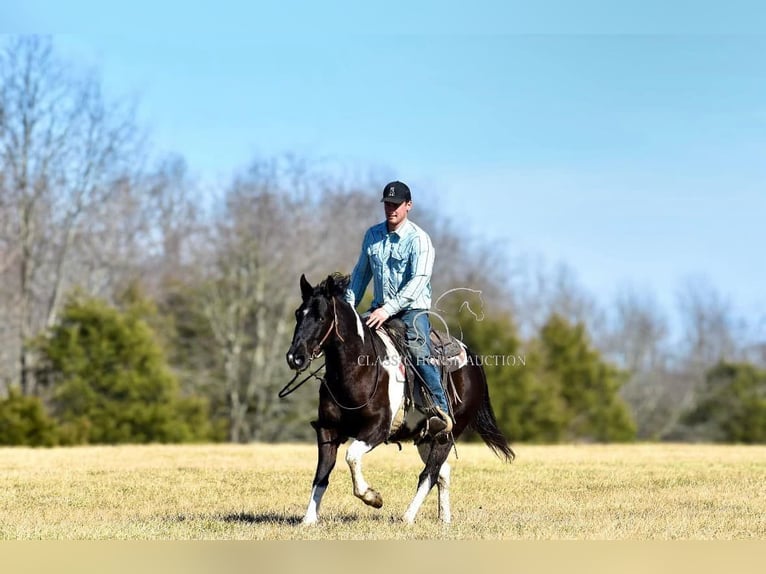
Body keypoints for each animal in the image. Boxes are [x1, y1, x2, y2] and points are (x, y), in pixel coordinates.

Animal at [284, 274, 512, 528]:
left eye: (321, 317)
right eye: (298, 313)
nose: (295, 357)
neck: (357, 370)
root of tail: (471, 359)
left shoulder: (376, 430)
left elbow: (351, 456)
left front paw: (373, 498)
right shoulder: (327, 430)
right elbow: (321, 474)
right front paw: (309, 519)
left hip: (447, 434)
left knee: (429, 474)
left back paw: (408, 517)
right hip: (426, 437)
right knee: (443, 472)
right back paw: (444, 519)